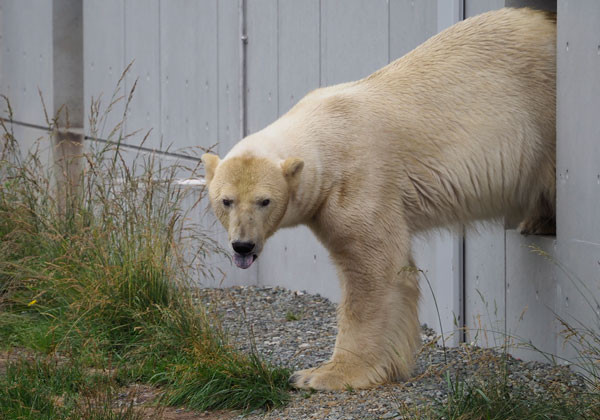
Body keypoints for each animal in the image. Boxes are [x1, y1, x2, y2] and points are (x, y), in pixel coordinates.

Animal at [203, 9, 556, 390]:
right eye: (226, 201)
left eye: (264, 201)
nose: (243, 245)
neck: (322, 133)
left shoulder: (358, 180)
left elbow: (374, 267)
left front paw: (323, 374)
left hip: (544, 113)